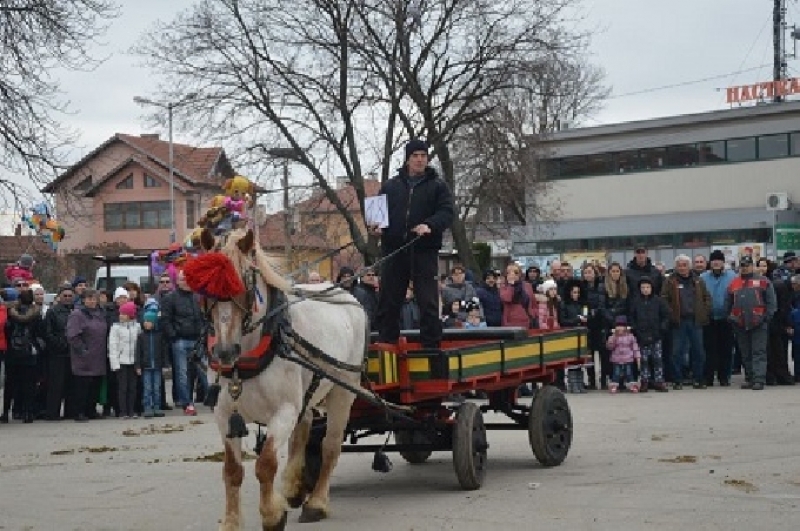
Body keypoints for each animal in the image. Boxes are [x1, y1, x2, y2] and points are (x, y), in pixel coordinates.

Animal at [191, 229, 368, 531]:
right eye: (205, 289)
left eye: (243, 283)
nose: (224, 352)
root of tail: (346, 294)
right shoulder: (224, 414)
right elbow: (232, 470)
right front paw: (231, 521)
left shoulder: (283, 411)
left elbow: (266, 464)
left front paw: (272, 515)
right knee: (304, 426)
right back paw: (292, 488)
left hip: (343, 389)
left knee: (330, 446)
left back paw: (316, 502)